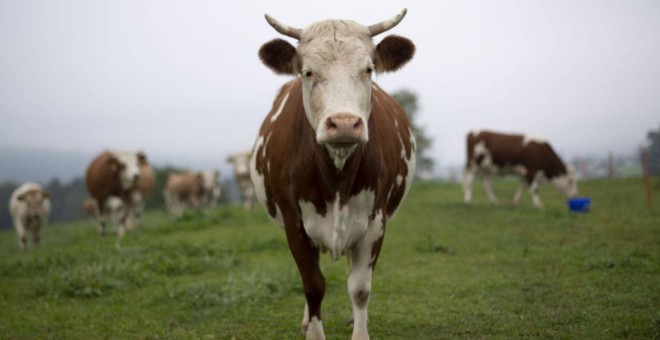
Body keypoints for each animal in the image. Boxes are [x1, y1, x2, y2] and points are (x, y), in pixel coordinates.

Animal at [250, 8, 416, 340]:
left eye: (368, 69)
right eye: (308, 72)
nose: (343, 124)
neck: (336, 176)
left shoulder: (375, 221)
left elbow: (360, 288)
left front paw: (360, 328)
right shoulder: (294, 223)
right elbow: (313, 285)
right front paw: (313, 330)